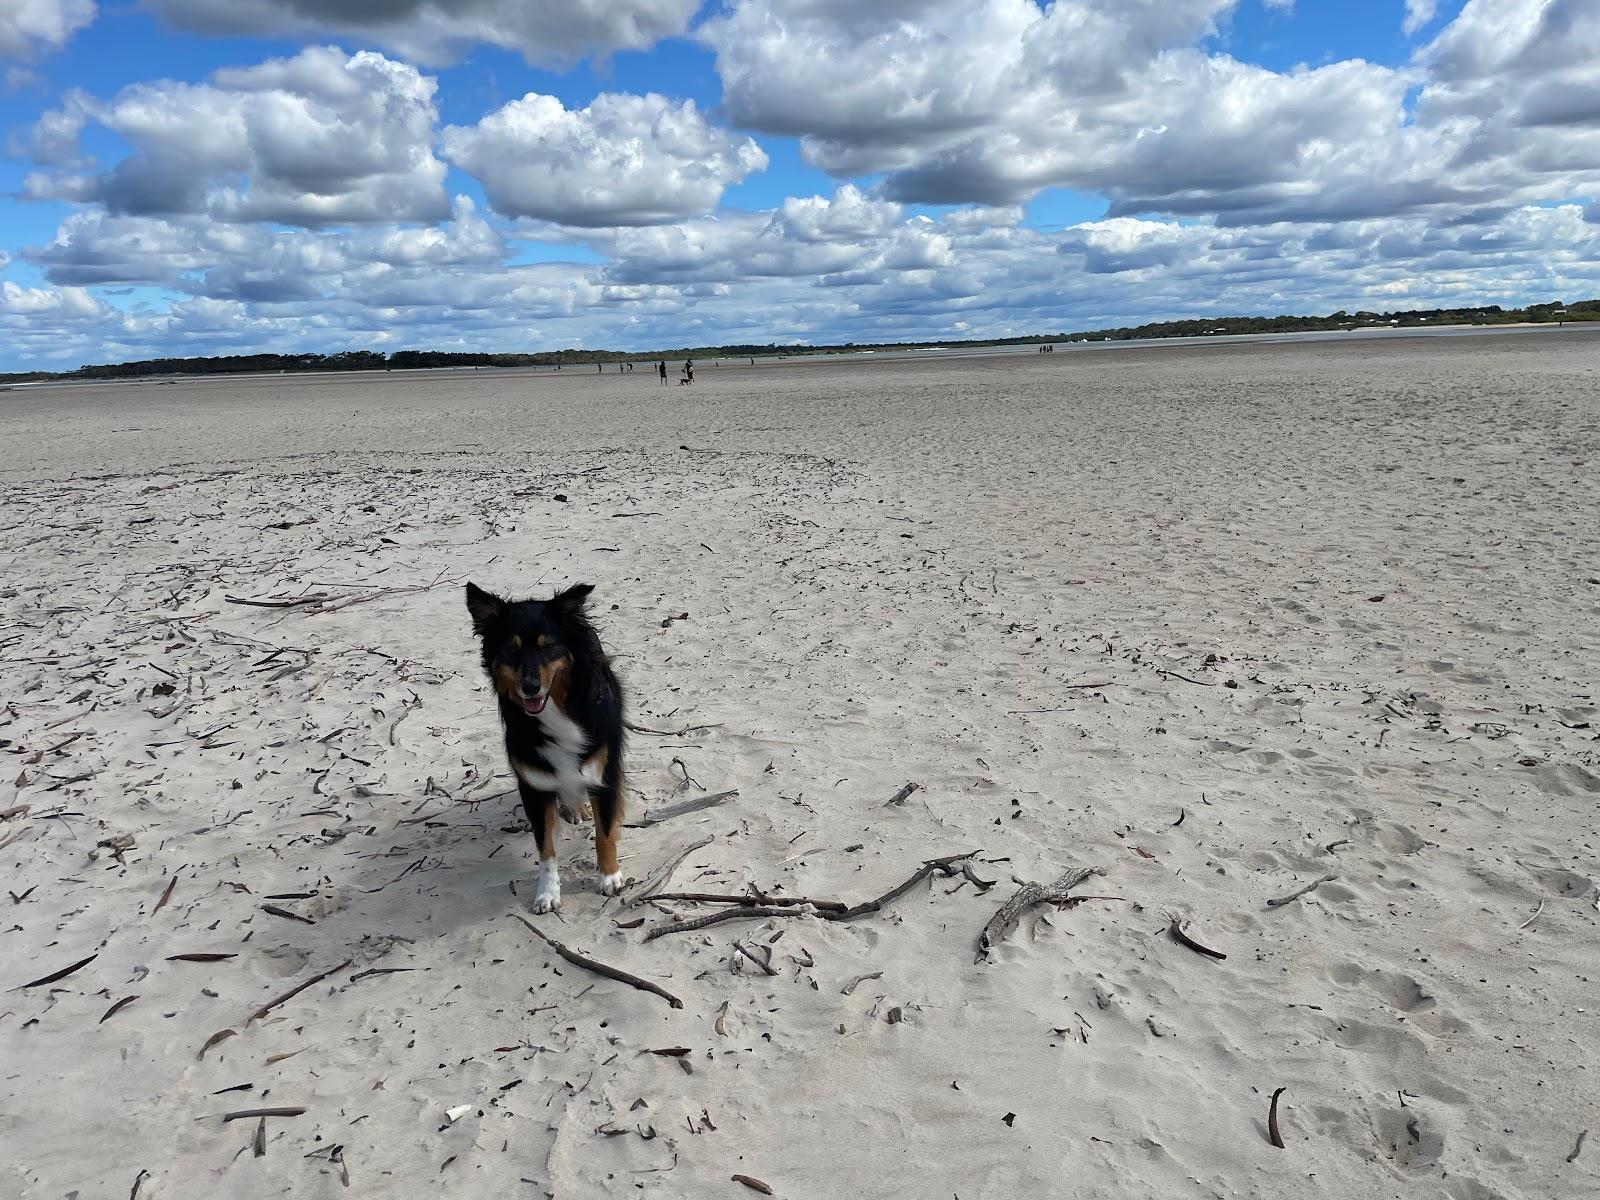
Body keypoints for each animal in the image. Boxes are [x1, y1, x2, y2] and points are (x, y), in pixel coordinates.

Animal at [464, 582, 624, 908]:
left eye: (547, 646)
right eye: (510, 649)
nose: (530, 688)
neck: (558, 709)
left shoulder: (604, 772)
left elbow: (604, 832)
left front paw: (609, 876)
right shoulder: (535, 786)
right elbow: (546, 848)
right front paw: (548, 892)